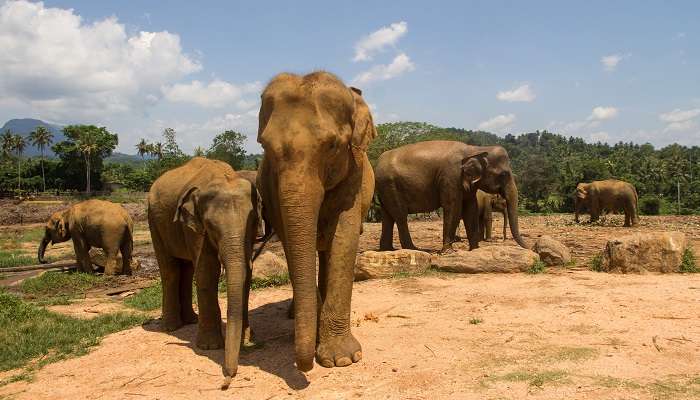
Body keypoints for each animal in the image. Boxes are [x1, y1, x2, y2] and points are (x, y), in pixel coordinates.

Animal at [146, 156, 264, 378]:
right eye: (211, 226)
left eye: (253, 221)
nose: (230, 374)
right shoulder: (195, 228)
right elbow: (207, 271)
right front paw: (209, 347)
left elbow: (246, 272)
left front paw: (246, 338)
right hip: (153, 221)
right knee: (170, 270)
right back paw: (171, 327)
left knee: (186, 270)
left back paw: (191, 320)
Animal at [258, 71, 378, 372]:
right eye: (265, 147)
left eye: (333, 146)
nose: (305, 364)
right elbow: (290, 241)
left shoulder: (354, 171)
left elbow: (344, 237)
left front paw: (342, 359)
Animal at [378, 141, 524, 253]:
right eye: (503, 174)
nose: (528, 247)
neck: (475, 149)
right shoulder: (451, 177)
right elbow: (453, 208)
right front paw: (448, 251)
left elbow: (470, 210)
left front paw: (475, 250)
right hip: (391, 187)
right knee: (401, 217)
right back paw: (413, 249)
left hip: (386, 190)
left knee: (388, 217)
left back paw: (388, 249)